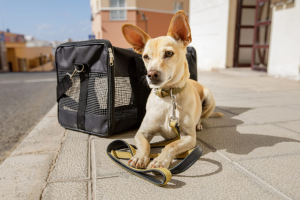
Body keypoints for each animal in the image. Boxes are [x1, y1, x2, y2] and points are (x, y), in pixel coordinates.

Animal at [122, 10, 223, 170]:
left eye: (168, 53)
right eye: (145, 57)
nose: (151, 74)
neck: (168, 96)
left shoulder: (189, 137)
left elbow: (171, 146)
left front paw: (160, 160)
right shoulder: (142, 132)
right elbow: (144, 145)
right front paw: (139, 157)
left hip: (209, 98)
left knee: (202, 116)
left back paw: (199, 123)